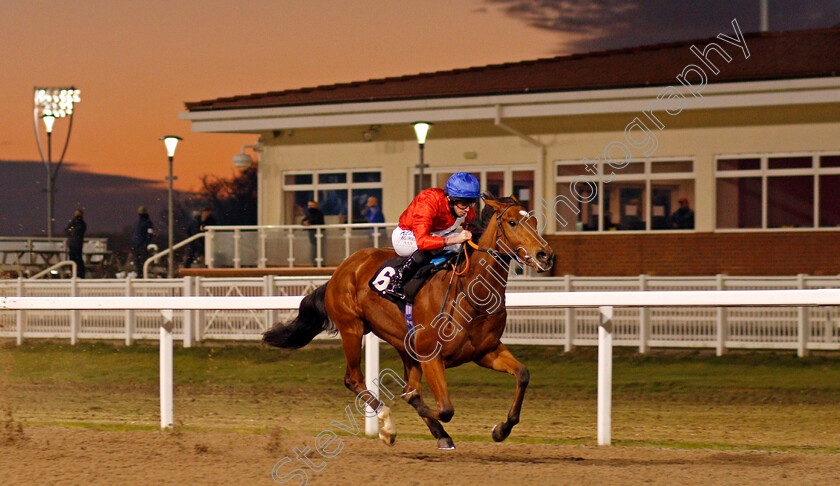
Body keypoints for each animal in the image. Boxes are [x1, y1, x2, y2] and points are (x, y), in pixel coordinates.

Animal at [260, 193, 552, 448]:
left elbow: (523, 374)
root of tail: (341, 270)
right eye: (512, 222)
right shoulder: (431, 356)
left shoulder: (485, 351)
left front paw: (501, 429)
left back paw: (439, 435)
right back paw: (388, 426)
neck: (471, 294)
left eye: (535, 222)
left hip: (403, 343)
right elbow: (443, 408)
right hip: (352, 328)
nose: (545, 255)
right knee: (354, 379)